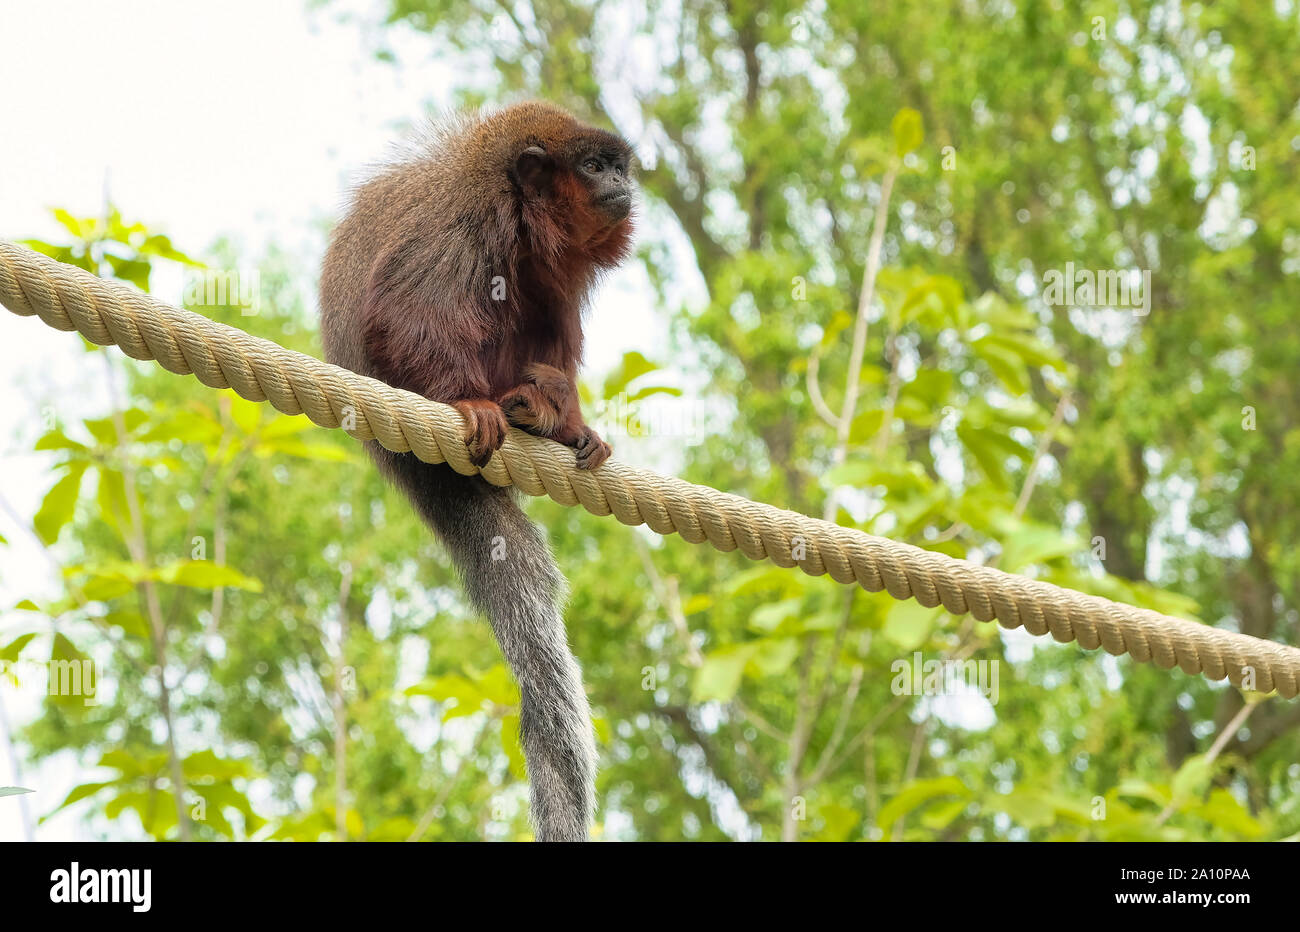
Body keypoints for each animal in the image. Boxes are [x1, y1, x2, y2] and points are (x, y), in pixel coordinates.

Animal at [319, 98, 634, 842]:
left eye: (618, 165)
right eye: (594, 165)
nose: (622, 183)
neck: (522, 209)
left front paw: (566, 419)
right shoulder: (469, 215)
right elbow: (403, 310)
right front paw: (466, 401)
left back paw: (538, 414)